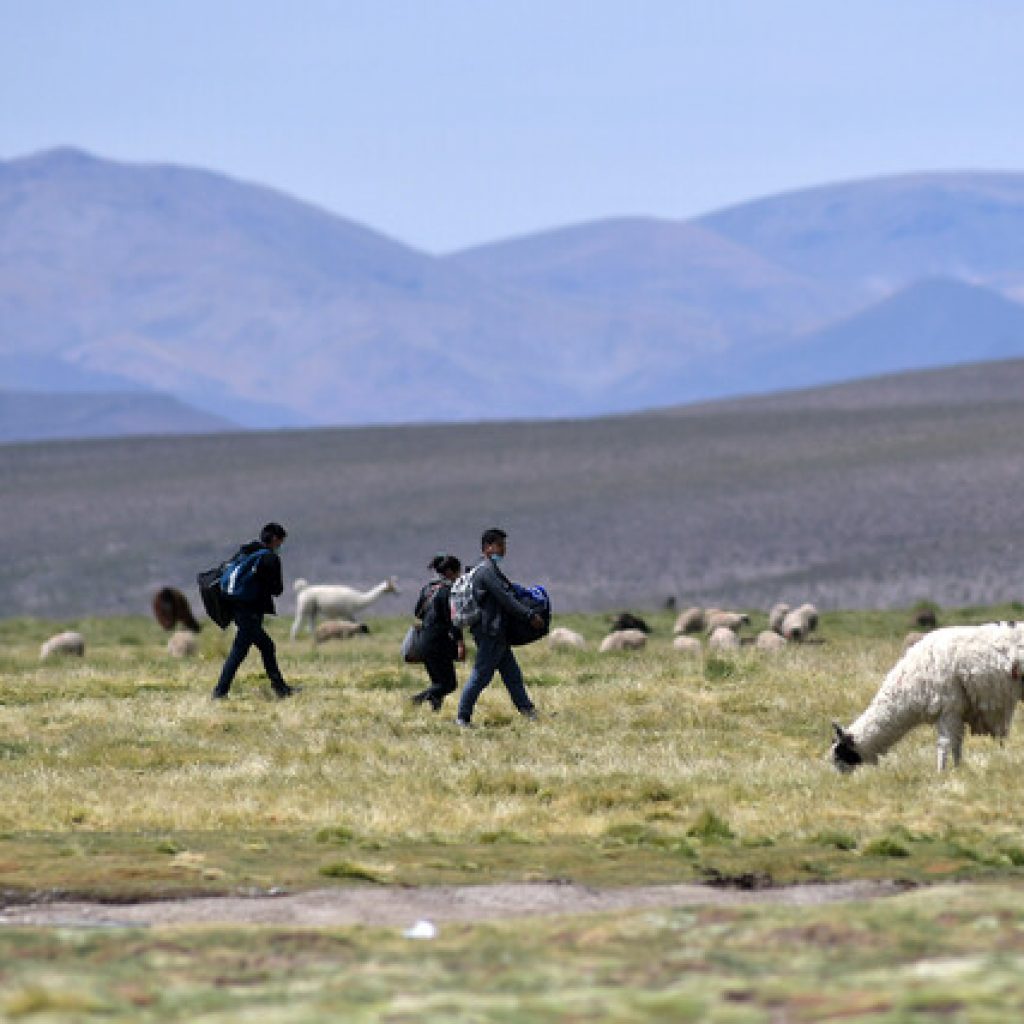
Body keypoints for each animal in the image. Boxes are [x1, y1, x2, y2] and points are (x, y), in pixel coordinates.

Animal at [827, 618, 1024, 770]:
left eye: (841, 754)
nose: (840, 776)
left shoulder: (948, 707)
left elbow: (945, 743)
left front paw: (942, 772)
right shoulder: (956, 710)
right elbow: (956, 742)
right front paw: (958, 769)